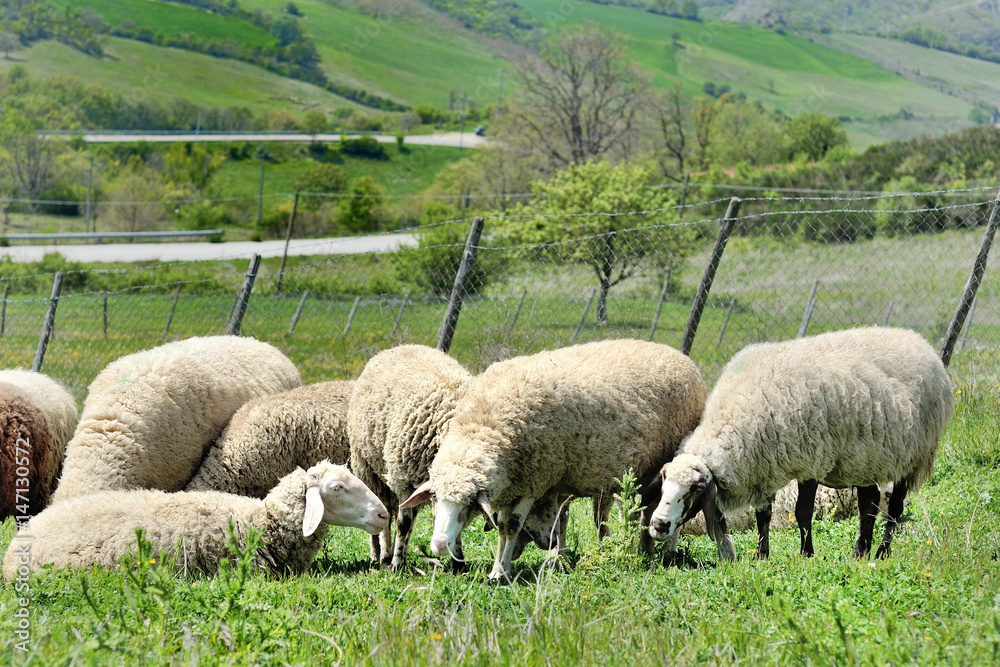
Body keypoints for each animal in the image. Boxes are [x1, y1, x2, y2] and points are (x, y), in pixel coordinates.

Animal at [347, 345, 473, 572]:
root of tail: (398, 347)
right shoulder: (405, 480)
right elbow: (403, 524)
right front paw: (397, 565)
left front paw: (458, 564)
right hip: (369, 470)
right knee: (384, 516)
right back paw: (382, 556)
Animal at [401, 339, 707, 581]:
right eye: (434, 499)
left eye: (466, 505)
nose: (440, 545)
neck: (485, 425)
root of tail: (680, 356)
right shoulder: (516, 484)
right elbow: (506, 526)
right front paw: (502, 565)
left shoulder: (534, 480)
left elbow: (511, 526)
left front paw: (500, 573)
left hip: (662, 462)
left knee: (655, 507)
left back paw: (655, 551)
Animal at [648, 327, 952, 561]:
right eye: (663, 485)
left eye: (695, 490)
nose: (658, 525)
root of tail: (917, 340)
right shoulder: (765, 466)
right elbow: (763, 515)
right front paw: (762, 555)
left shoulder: (810, 462)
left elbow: (802, 513)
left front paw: (806, 554)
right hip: (866, 459)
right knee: (870, 503)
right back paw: (859, 553)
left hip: (913, 456)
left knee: (895, 508)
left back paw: (881, 552)